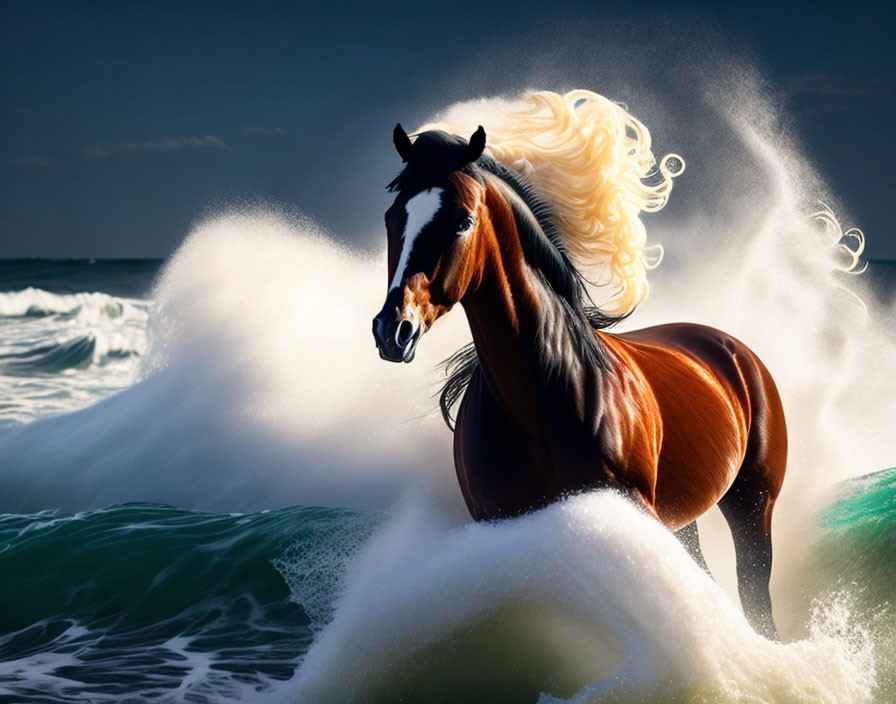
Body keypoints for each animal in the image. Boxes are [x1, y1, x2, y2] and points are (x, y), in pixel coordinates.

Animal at [372, 124, 784, 640]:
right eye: (392, 216)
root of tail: (732, 349)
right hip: (681, 519)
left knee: (755, 596)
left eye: (463, 221)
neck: (542, 399)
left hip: (752, 505)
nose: (393, 330)